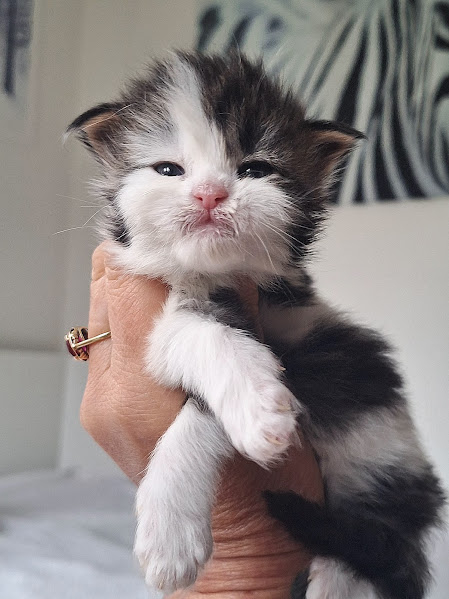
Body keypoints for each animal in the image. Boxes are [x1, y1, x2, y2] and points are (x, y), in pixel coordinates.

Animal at [68, 51, 444, 599]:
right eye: (168, 169)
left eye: (255, 169)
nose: (209, 194)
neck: (209, 276)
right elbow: (193, 334)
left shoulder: (300, 343)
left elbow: (203, 389)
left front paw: (171, 526)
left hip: (382, 457)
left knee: (387, 550)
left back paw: (338, 577)